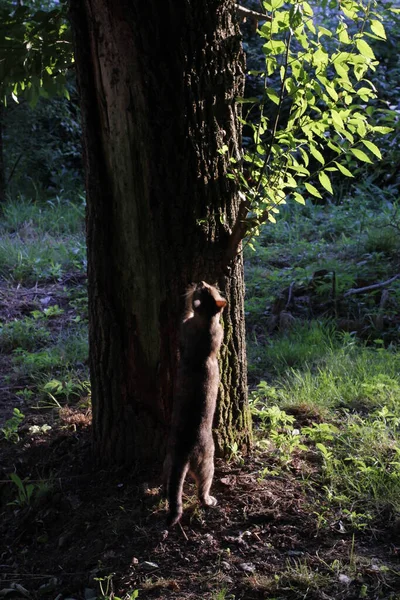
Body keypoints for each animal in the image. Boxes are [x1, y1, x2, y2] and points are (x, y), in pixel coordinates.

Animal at [162, 280, 225, 524]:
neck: (206, 324)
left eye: (207, 288)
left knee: (183, 488)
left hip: (186, 461)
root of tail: (183, 451)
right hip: (192, 462)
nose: (201, 281)